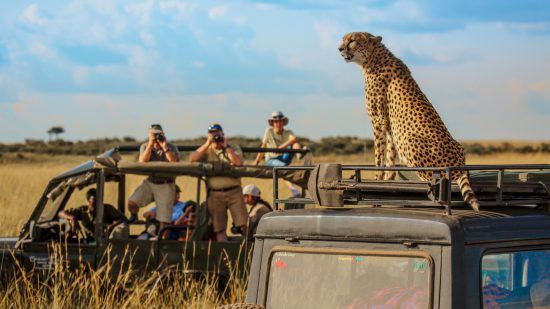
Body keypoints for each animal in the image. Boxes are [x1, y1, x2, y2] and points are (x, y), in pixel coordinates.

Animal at [338, 31, 480, 209]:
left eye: (352, 40)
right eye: (343, 40)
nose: (339, 49)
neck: (373, 59)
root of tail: (459, 164)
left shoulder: (378, 121)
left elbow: (379, 157)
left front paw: (376, 180)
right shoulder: (391, 128)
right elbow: (390, 158)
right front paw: (387, 182)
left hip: (410, 140)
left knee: (434, 180)